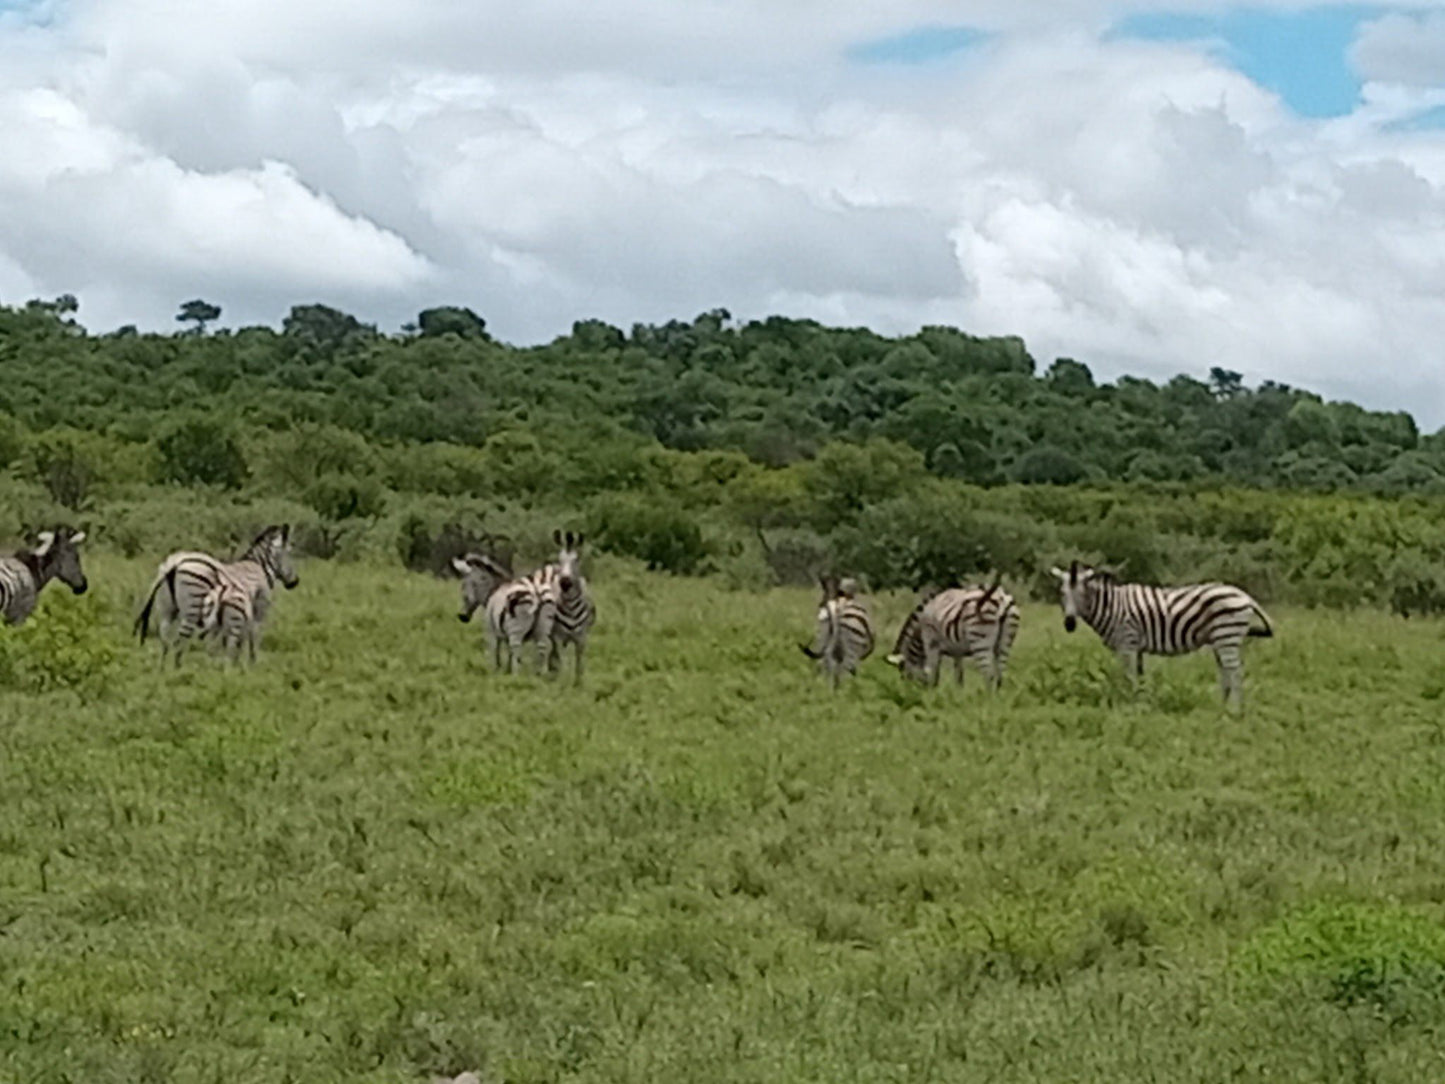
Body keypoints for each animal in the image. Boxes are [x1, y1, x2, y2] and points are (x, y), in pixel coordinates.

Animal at [135, 523, 299, 667]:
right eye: (290, 552)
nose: (295, 582)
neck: (259, 567)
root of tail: (174, 564)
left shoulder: (229, 617)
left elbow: (224, 643)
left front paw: (226, 666)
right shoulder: (258, 610)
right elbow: (253, 639)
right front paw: (251, 666)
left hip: (167, 610)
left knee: (165, 639)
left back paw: (163, 671)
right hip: (192, 607)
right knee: (179, 640)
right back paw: (178, 671)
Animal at [528, 531, 595, 682]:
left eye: (576, 560)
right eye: (560, 559)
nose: (564, 583)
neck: (571, 607)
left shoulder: (581, 637)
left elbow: (579, 664)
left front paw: (578, 683)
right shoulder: (559, 637)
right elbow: (564, 663)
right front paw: (562, 682)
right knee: (545, 650)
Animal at [884, 581, 1023, 690]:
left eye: (903, 673)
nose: (908, 690)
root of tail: (1000, 598)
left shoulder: (931, 642)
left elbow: (932, 672)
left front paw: (932, 695)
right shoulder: (957, 651)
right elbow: (958, 677)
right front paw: (957, 697)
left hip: (980, 640)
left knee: (988, 674)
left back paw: (986, 701)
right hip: (1005, 642)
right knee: (1001, 674)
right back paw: (997, 701)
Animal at [1051, 563, 1277, 708]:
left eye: (1082, 594)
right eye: (1062, 593)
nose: (1069, 624)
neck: (1112, 607)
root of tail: (1245, 596)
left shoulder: (1127, 643)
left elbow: (1129, 677)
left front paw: (1129, 703)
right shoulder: (1137, 647)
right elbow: (1140, 677)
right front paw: (1142, 702)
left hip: (1227, 634)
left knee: (1235, 671)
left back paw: (1235, 711)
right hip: (1222, 639)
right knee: (1226, 672)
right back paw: (1222, 707)